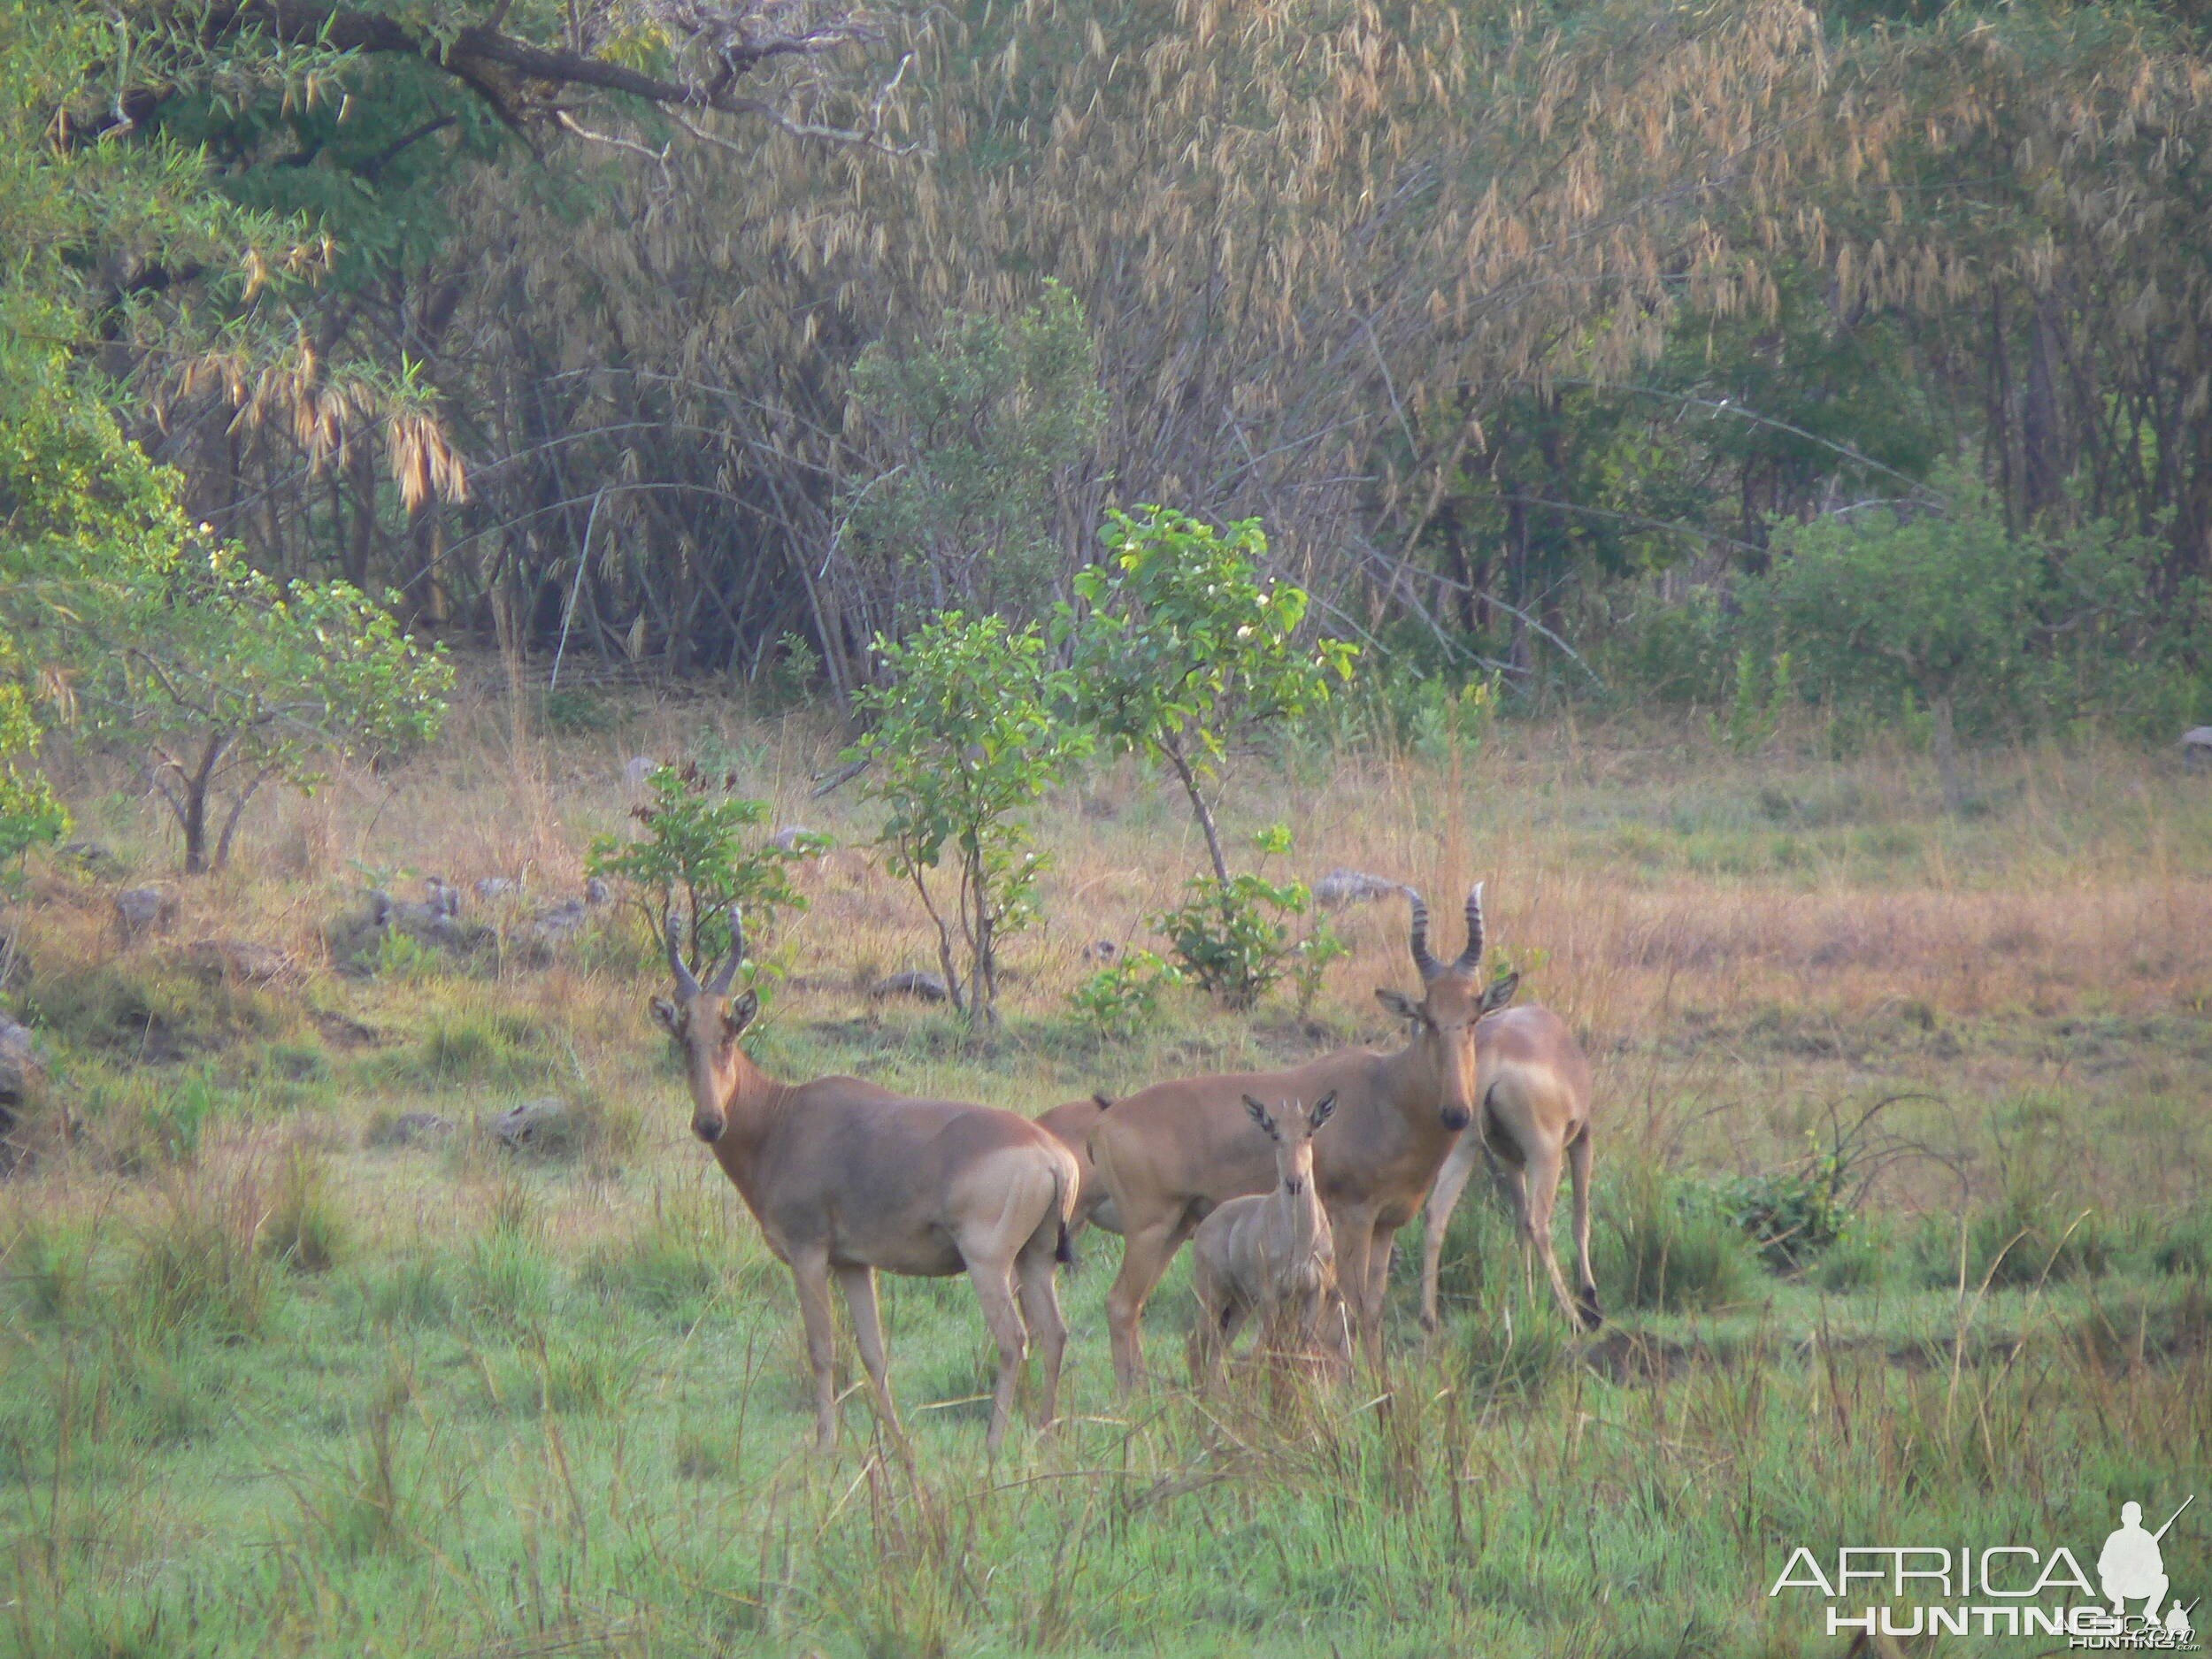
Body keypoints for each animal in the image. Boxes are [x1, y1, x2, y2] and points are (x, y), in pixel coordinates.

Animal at [646, 911, 1079, 1451]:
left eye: (729, 1033)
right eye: (685, 1037)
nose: (709, 1123)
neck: (783, 1117)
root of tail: (1052, 1157)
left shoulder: (808, 1253)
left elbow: (823, 1348)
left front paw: (825, 1447)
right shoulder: (854, 1264)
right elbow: (873, 1353)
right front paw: (898, 1444)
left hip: (988, 1262)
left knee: (1012, 1339)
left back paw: (994, 1444)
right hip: (1036, 1258)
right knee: (1054, 1334)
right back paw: (1045, 1435)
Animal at [1194, 1097, 1345, 1380]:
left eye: (1309, 1132)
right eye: (1275, 1135)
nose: (1294, 1183)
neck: (1300, 1240)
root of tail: (1206, 1223)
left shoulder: (1314, 1291)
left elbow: (1297, 1348)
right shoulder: (1270, 1294)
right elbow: (1270, 1349)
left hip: (1241, 1303)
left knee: (1218, 1352)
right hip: (1213, 1294)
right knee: (1198, 1345)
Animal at [1425, 1000, 1601, 1336]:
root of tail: (1495, 1054)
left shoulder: (1511, 1160)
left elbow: (1518, 1226)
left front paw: (1529, 1304)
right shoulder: (1582, 1140)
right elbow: (1580, 1220)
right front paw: (1591, 1301)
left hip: (1464, 1146)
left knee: (1437, 1214)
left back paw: (1429, 1318)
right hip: (1545, 1156)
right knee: (1539, 1223)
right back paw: (1574, 1317)